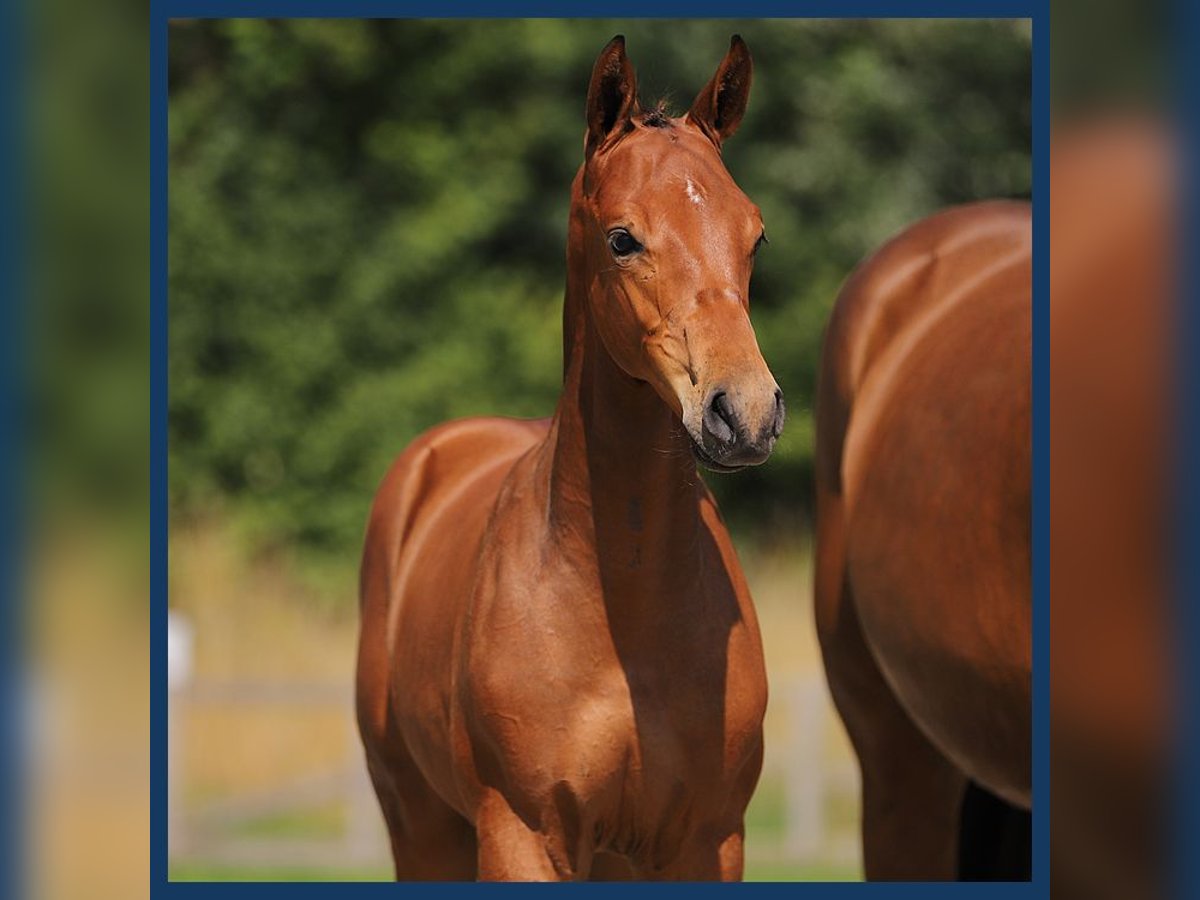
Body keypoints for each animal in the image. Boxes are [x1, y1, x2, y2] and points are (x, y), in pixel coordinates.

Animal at [352, 38, 787, 883]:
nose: (745, 413)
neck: (622, 612)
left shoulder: (708, 841)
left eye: (754, 236)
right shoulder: (524, 833)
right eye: (622, 238)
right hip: (421, 826)